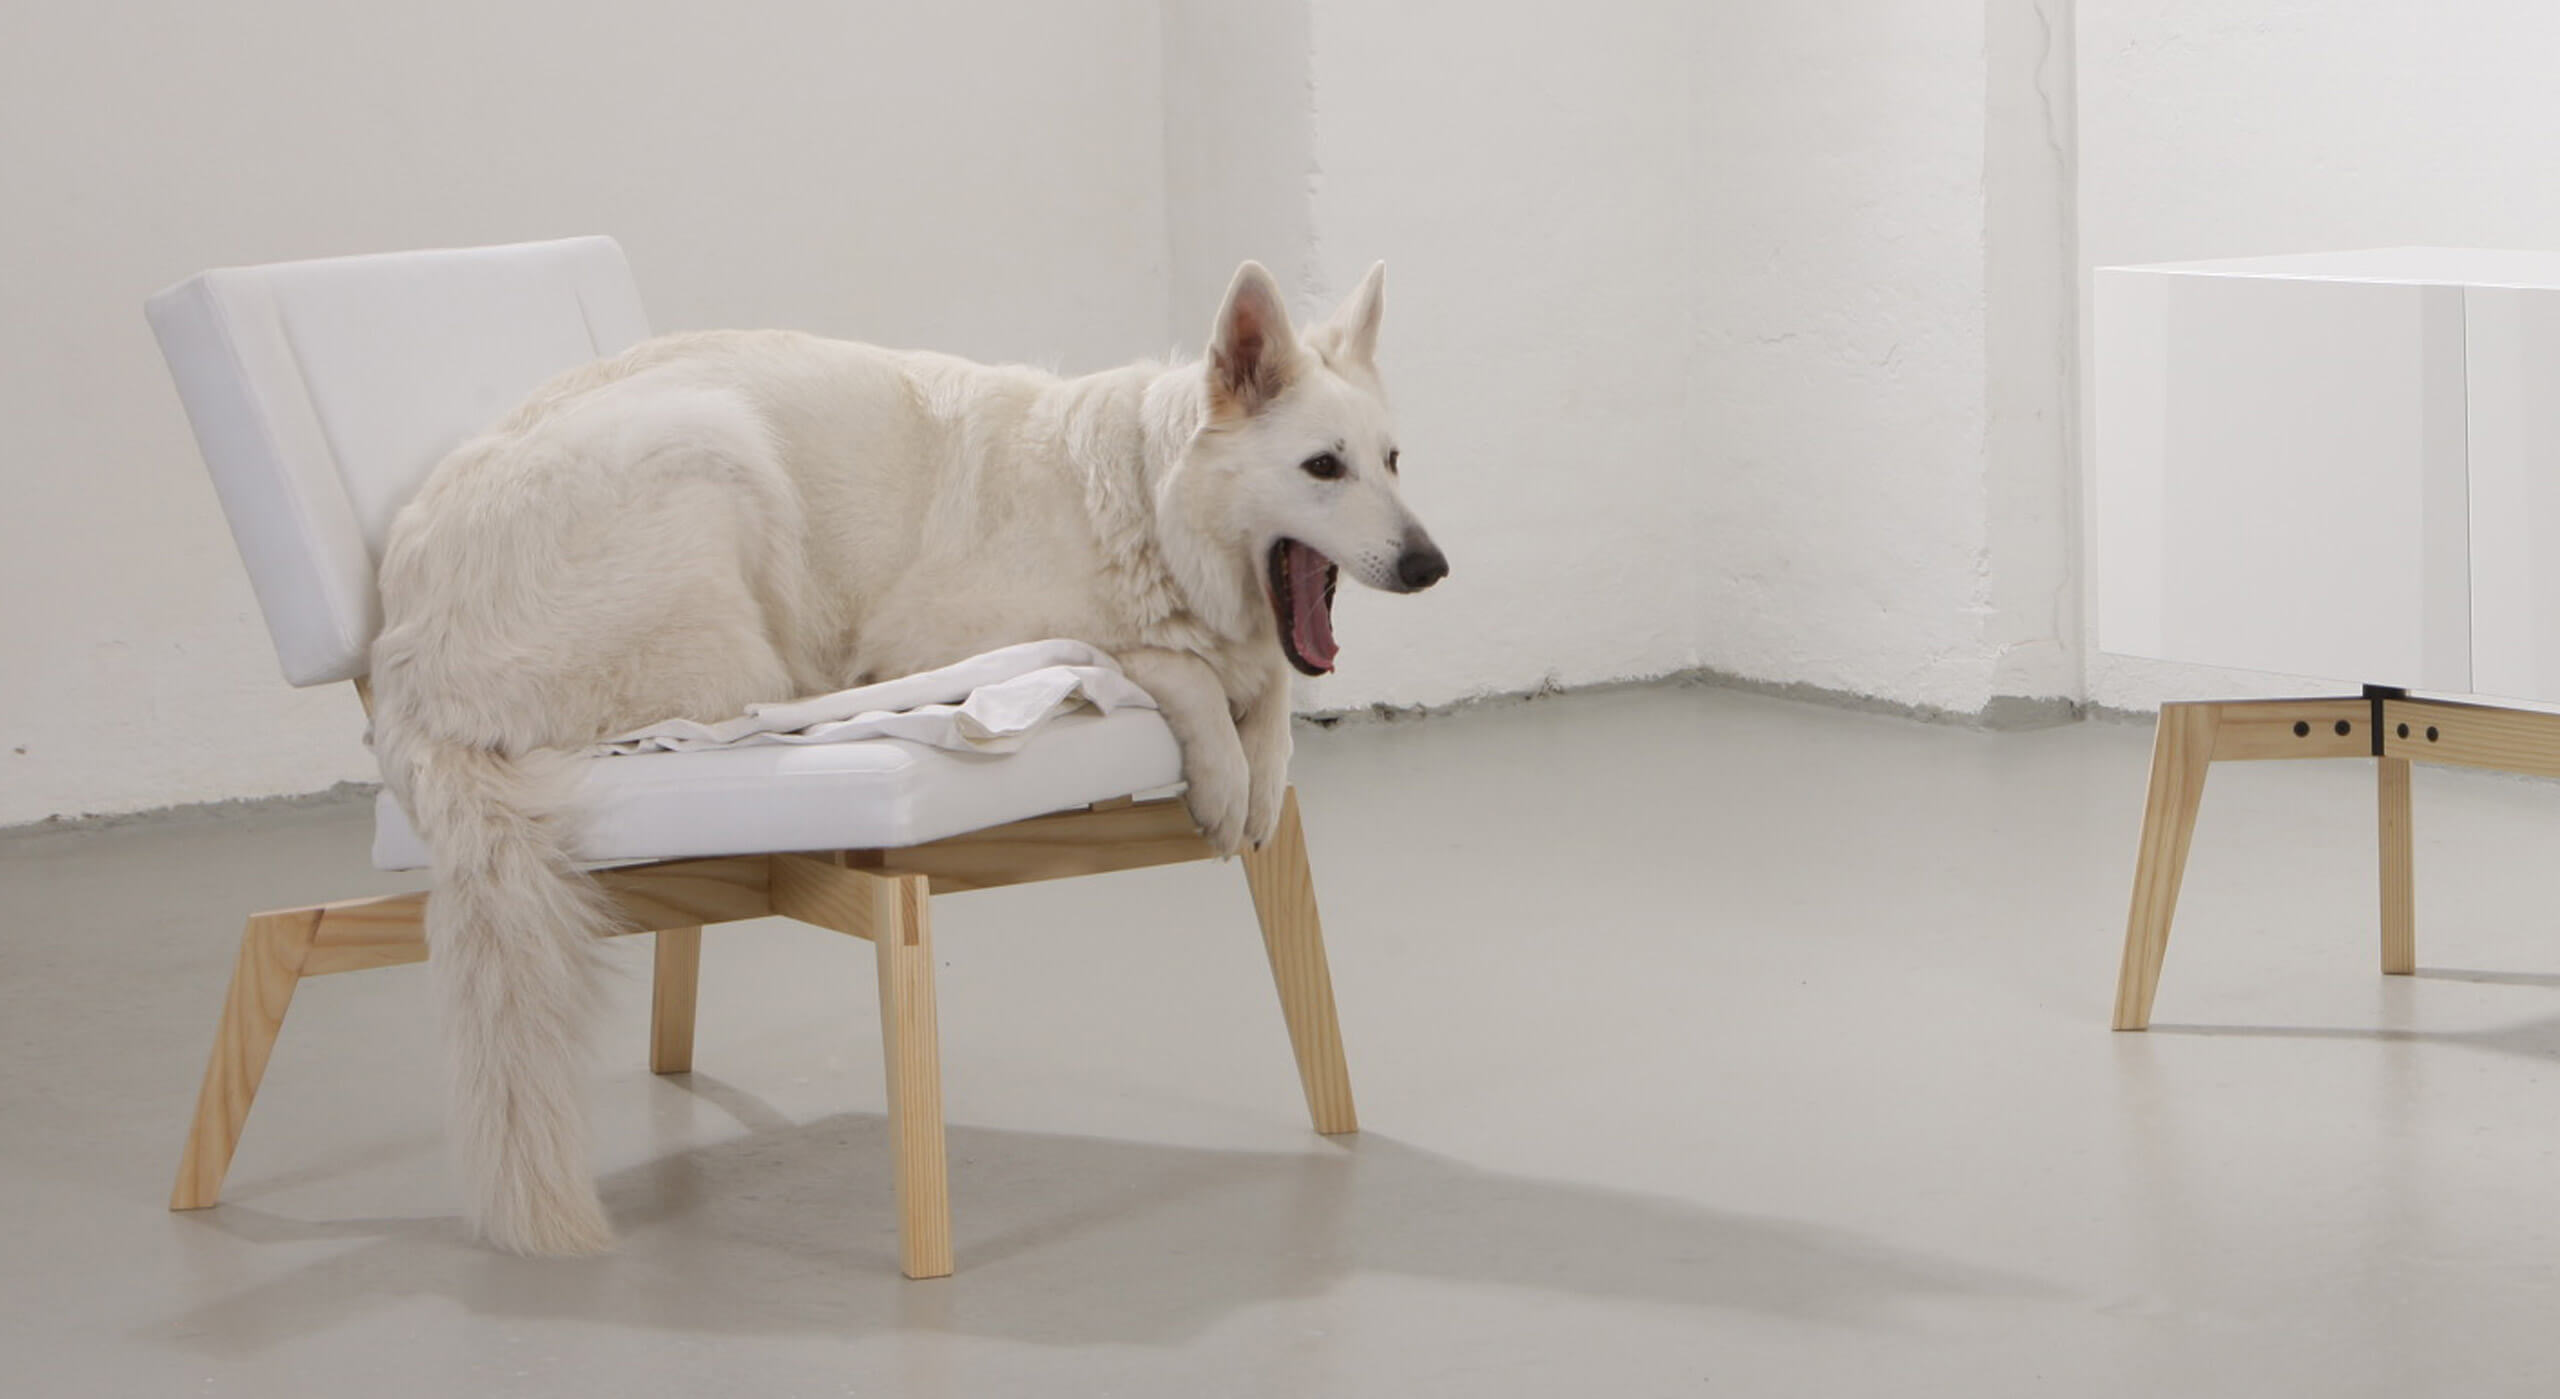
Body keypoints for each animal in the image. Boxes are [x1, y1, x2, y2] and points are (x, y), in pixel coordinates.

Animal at [366, 260, 1447, 1254]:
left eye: (1393, 461)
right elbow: (1160, 663)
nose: (1433, 566)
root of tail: (404, 668)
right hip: (716, 457)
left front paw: (1258, 772)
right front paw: (1220, 767)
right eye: (1323, 467)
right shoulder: (950, 641)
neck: (1136, 498)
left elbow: (1270, 697)